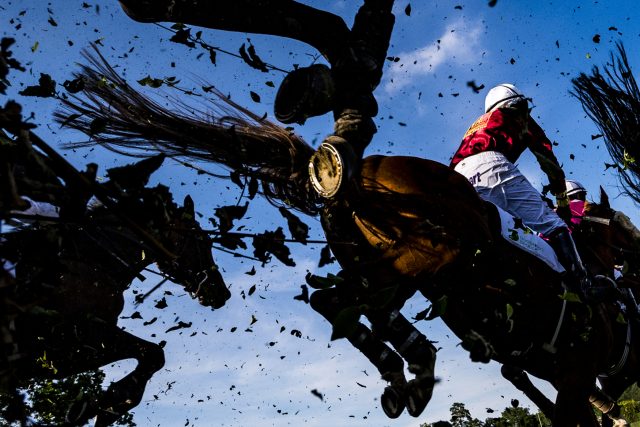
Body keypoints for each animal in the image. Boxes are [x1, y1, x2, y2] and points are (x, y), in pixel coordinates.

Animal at [0, 139, 230, 426]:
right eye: (203, 240)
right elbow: (153, 354)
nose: (221, 293)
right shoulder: (72, 342)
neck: (94, 259)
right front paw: (107, 402)